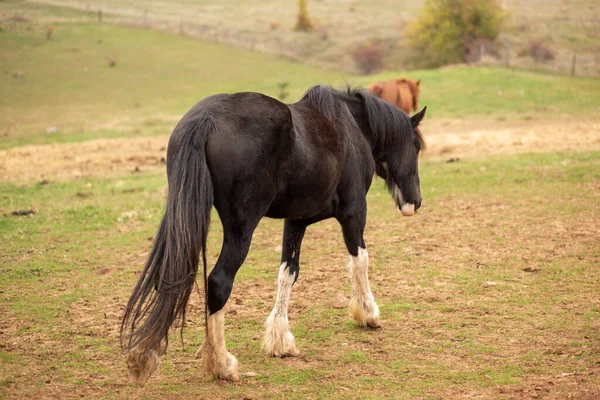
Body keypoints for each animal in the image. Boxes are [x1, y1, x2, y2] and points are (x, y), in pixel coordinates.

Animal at [119, 84, 424, 382]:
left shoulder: (296, 221)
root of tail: (206, 120)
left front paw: (280, 341)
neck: (351, 126)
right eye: (417, 146)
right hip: (241, 228)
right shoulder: (354, 212)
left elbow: (288, 273)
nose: (415, 202)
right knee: (218, 282)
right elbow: (360, 259)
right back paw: (221, 364)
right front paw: (368, 312)